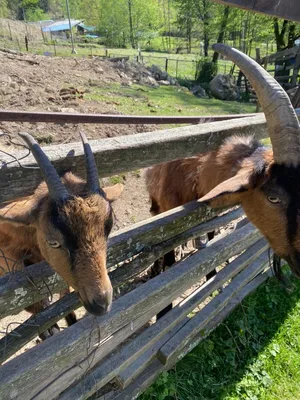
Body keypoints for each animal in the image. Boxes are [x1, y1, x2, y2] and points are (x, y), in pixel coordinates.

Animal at [145, 43, 300, 318]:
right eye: (273, 197)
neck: (193, 174)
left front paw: (213, 282)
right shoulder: (167, 225)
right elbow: (168, 259)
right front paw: (164, 312)